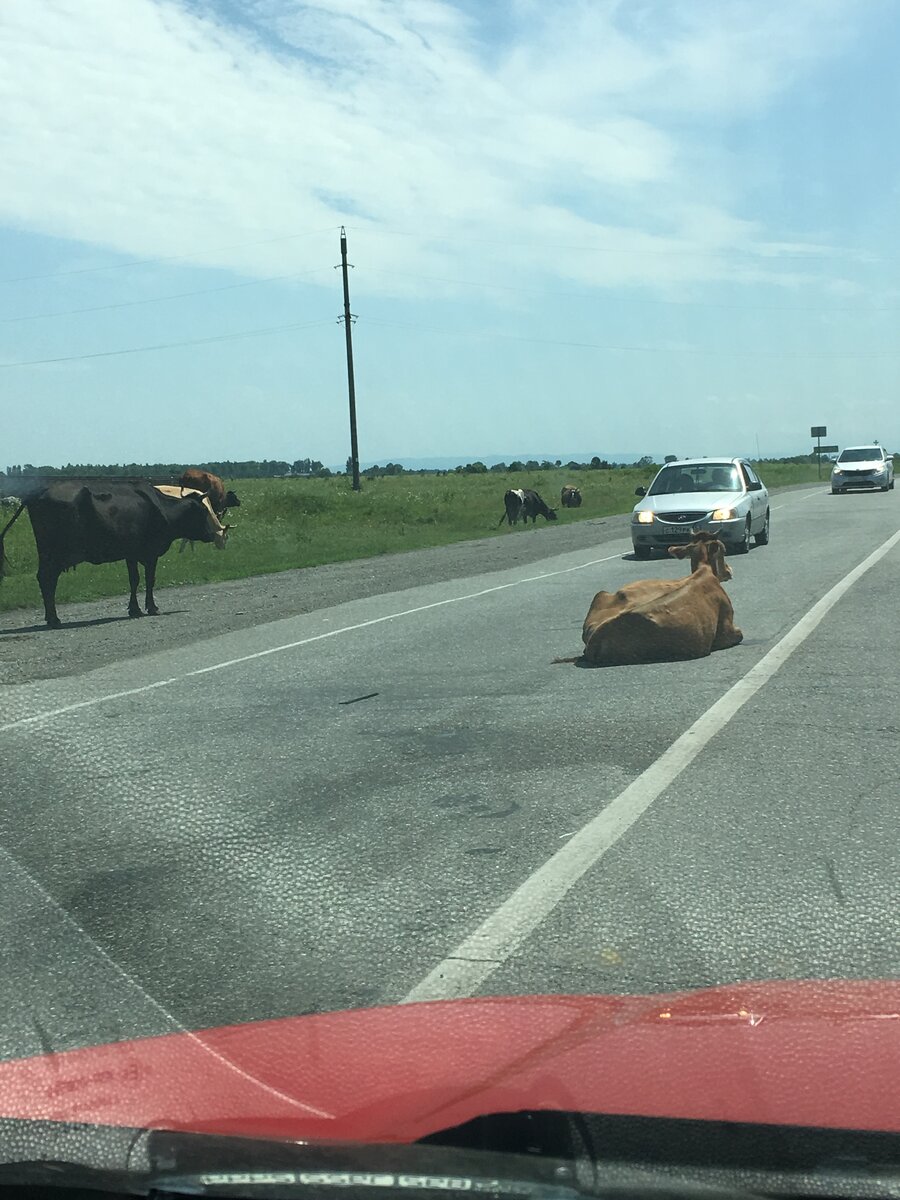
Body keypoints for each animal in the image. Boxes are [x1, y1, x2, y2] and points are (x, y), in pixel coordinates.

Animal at [4, 477, 229, 628]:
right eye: (202, 512)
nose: (212, 534)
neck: (162, 509)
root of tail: (38, 492)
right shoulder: (150, 553)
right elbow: (149, 580)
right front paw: (151, 607)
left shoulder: (131, 554)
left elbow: (134, 580)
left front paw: (134, 609)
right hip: (54, 553)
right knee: (47, 579)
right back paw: (54, 619)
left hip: (47, 553)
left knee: (45, 579)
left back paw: (51, 617)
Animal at [571, 532, 739, 667]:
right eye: (723, 550)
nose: (729, 570)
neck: (704, 570)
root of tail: (594, 640)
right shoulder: (727, 631)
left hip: (601, 594)